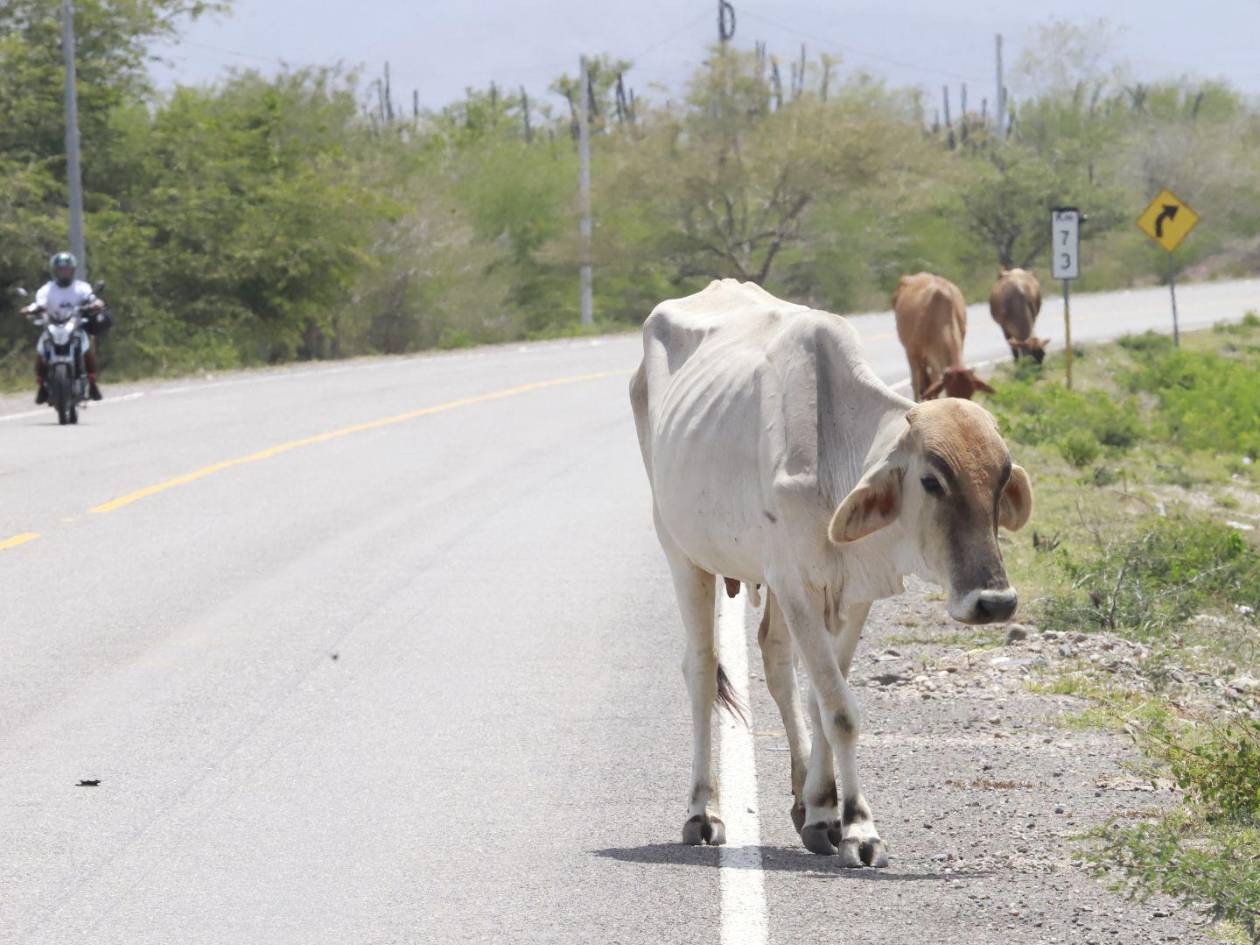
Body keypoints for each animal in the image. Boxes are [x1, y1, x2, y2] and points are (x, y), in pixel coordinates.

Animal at [892, 272, 994, 401]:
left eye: (970, 394)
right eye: (950, 392)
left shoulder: (936, 360)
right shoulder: (913, 353)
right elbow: (918, 385)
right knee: (918, 383)